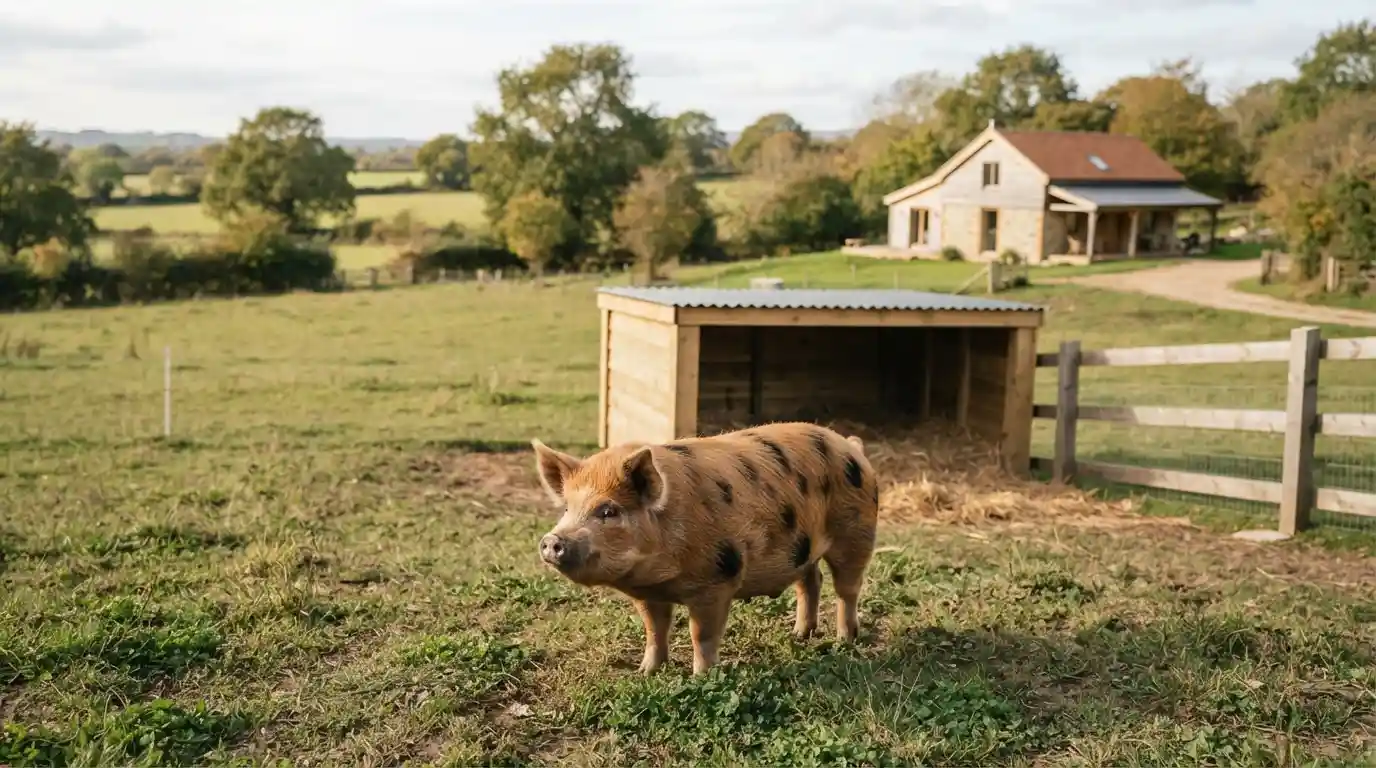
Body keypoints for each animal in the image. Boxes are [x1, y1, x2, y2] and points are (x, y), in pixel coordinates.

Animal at [530, 421, 880, 675]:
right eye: (566, 509)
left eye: (608, 511)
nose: (552, 540)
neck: (660, 574)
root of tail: (854, 448)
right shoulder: (648, 593)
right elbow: (654, 630)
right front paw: (645, 672)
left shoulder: (717, 580)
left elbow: (702, 634)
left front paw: (702, 677)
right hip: (805, 549)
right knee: (810, 580)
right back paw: (799, 635)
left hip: (857, 532)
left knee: (847, 589)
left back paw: (845, 640)